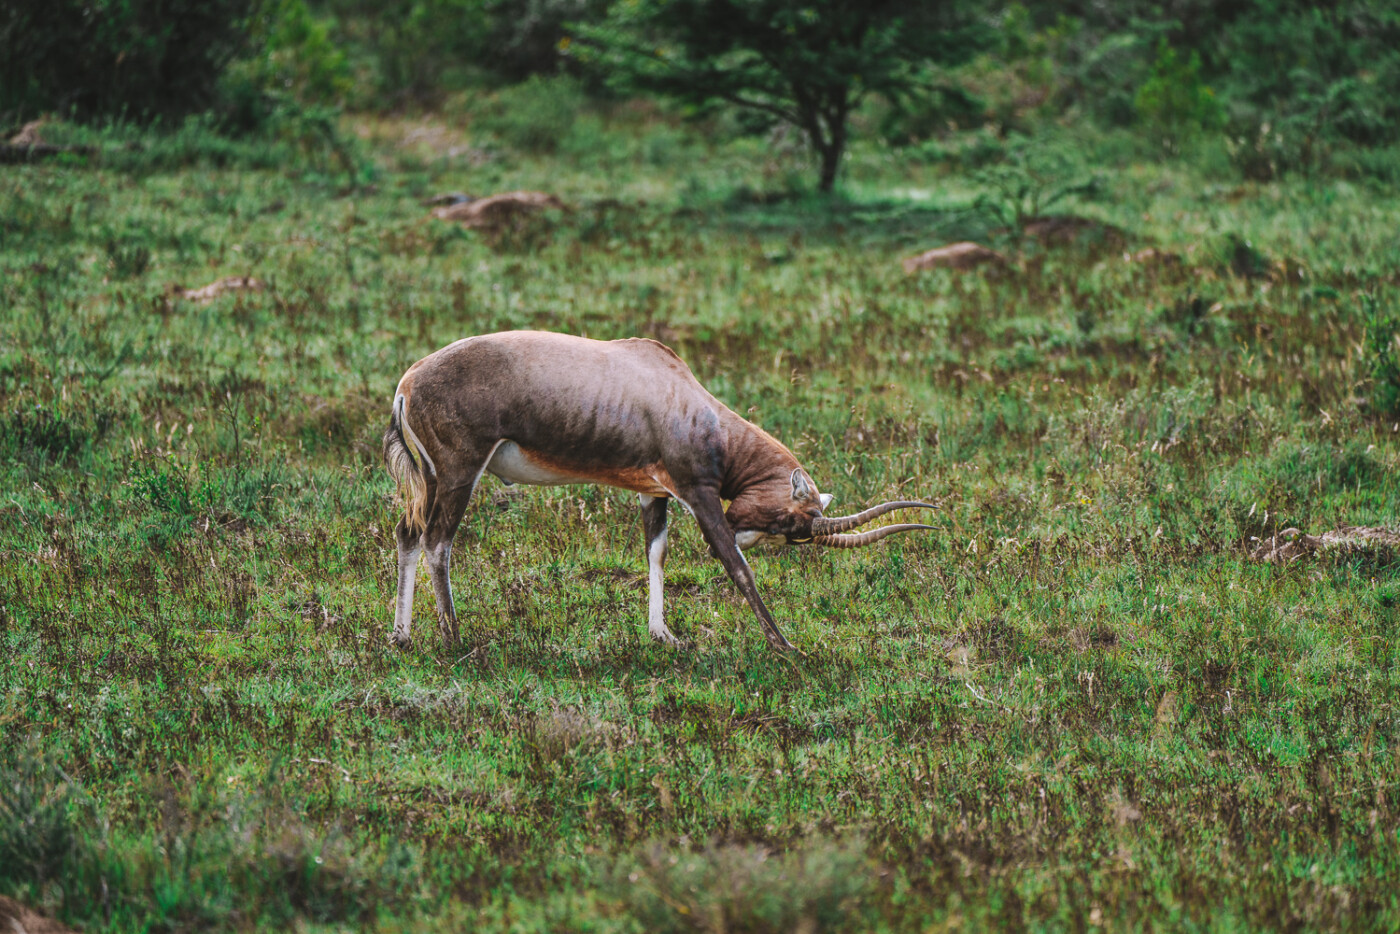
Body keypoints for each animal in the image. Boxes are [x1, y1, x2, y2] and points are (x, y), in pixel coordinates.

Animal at [380, 334, 940, 649]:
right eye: (791, 522)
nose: (746, 529)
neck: (680, 393)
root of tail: (407, 384)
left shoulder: (654, 493)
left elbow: (656, 553)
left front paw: (663, 635)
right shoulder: (699, 493)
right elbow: (736, 567)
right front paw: (788, 647)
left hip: (431, 478)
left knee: (408, 534)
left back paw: (402, 637)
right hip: (460, 472)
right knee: (437, 542)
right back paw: (455, 640)